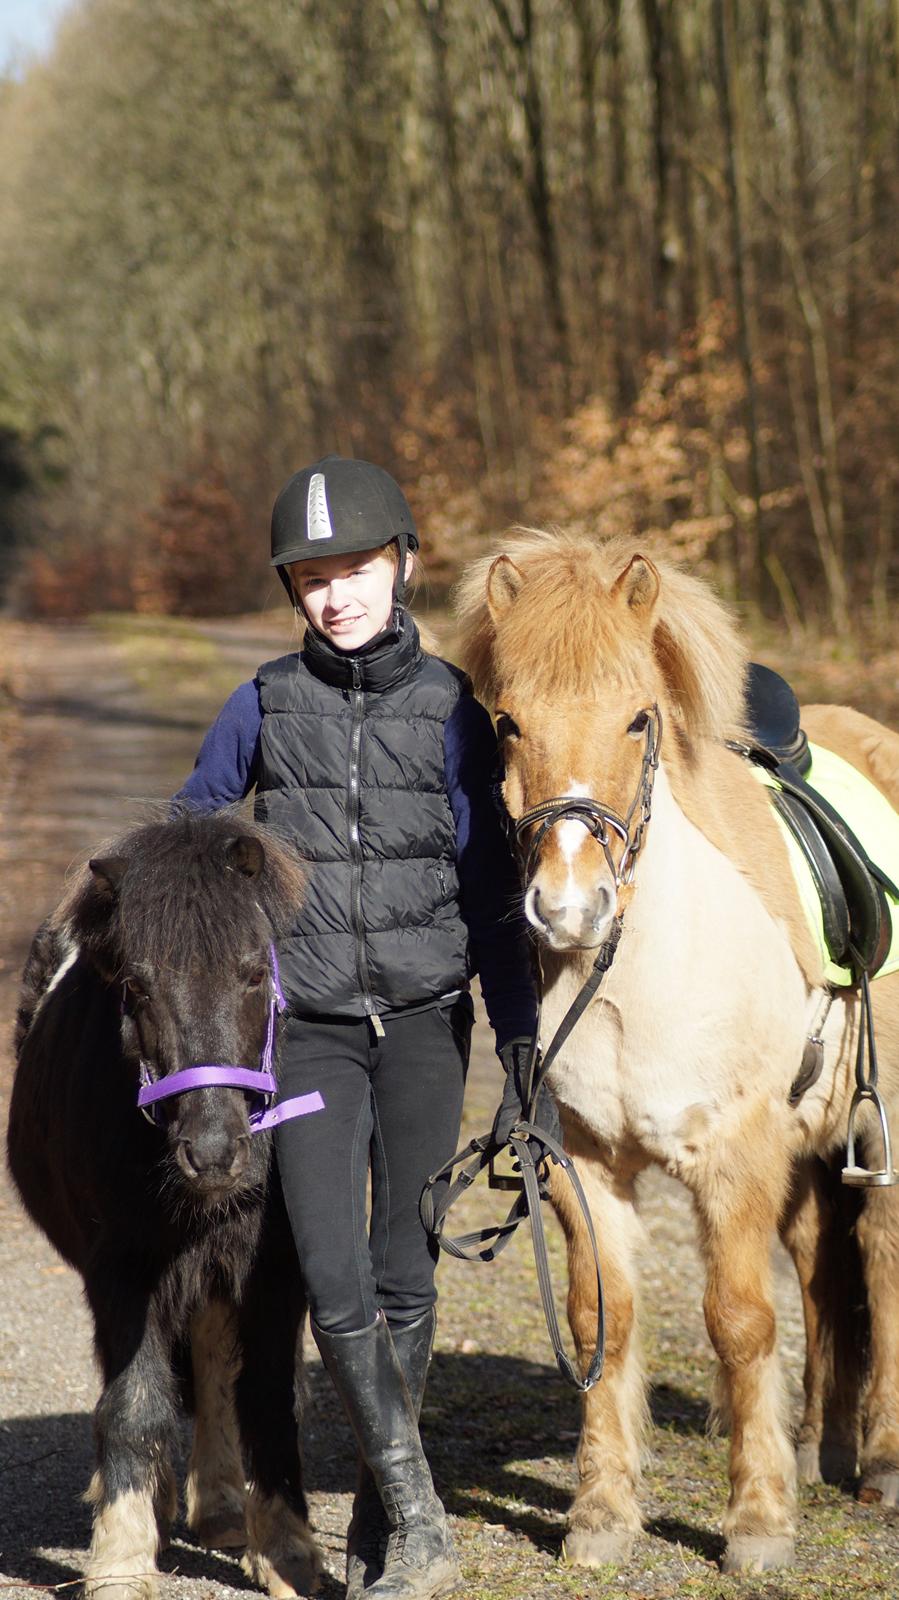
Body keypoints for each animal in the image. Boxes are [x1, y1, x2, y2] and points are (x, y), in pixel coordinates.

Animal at [7, 819, 321, 1593]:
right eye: (137, 985)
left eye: (254, 973)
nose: (211, 1153)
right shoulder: (123, 1269)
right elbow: (133, 1406)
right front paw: (121, 1559)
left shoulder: (275, 1270)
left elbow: (269, 1401)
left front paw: (287, 1554)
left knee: (212, 1360)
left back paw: (222, 1508)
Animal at [454, 534, 895, 1574]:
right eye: (506, 722)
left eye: (636, 719)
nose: (568, 908)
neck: (636, 969)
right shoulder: (583, 1163)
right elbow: (600, 1323)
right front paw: (601, 1512)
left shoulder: (733, 1156)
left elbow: (738, 1323)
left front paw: (757, 1524)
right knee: (820, 1266)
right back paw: (816, 1446)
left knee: (881, 1262)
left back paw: (882, 1464)